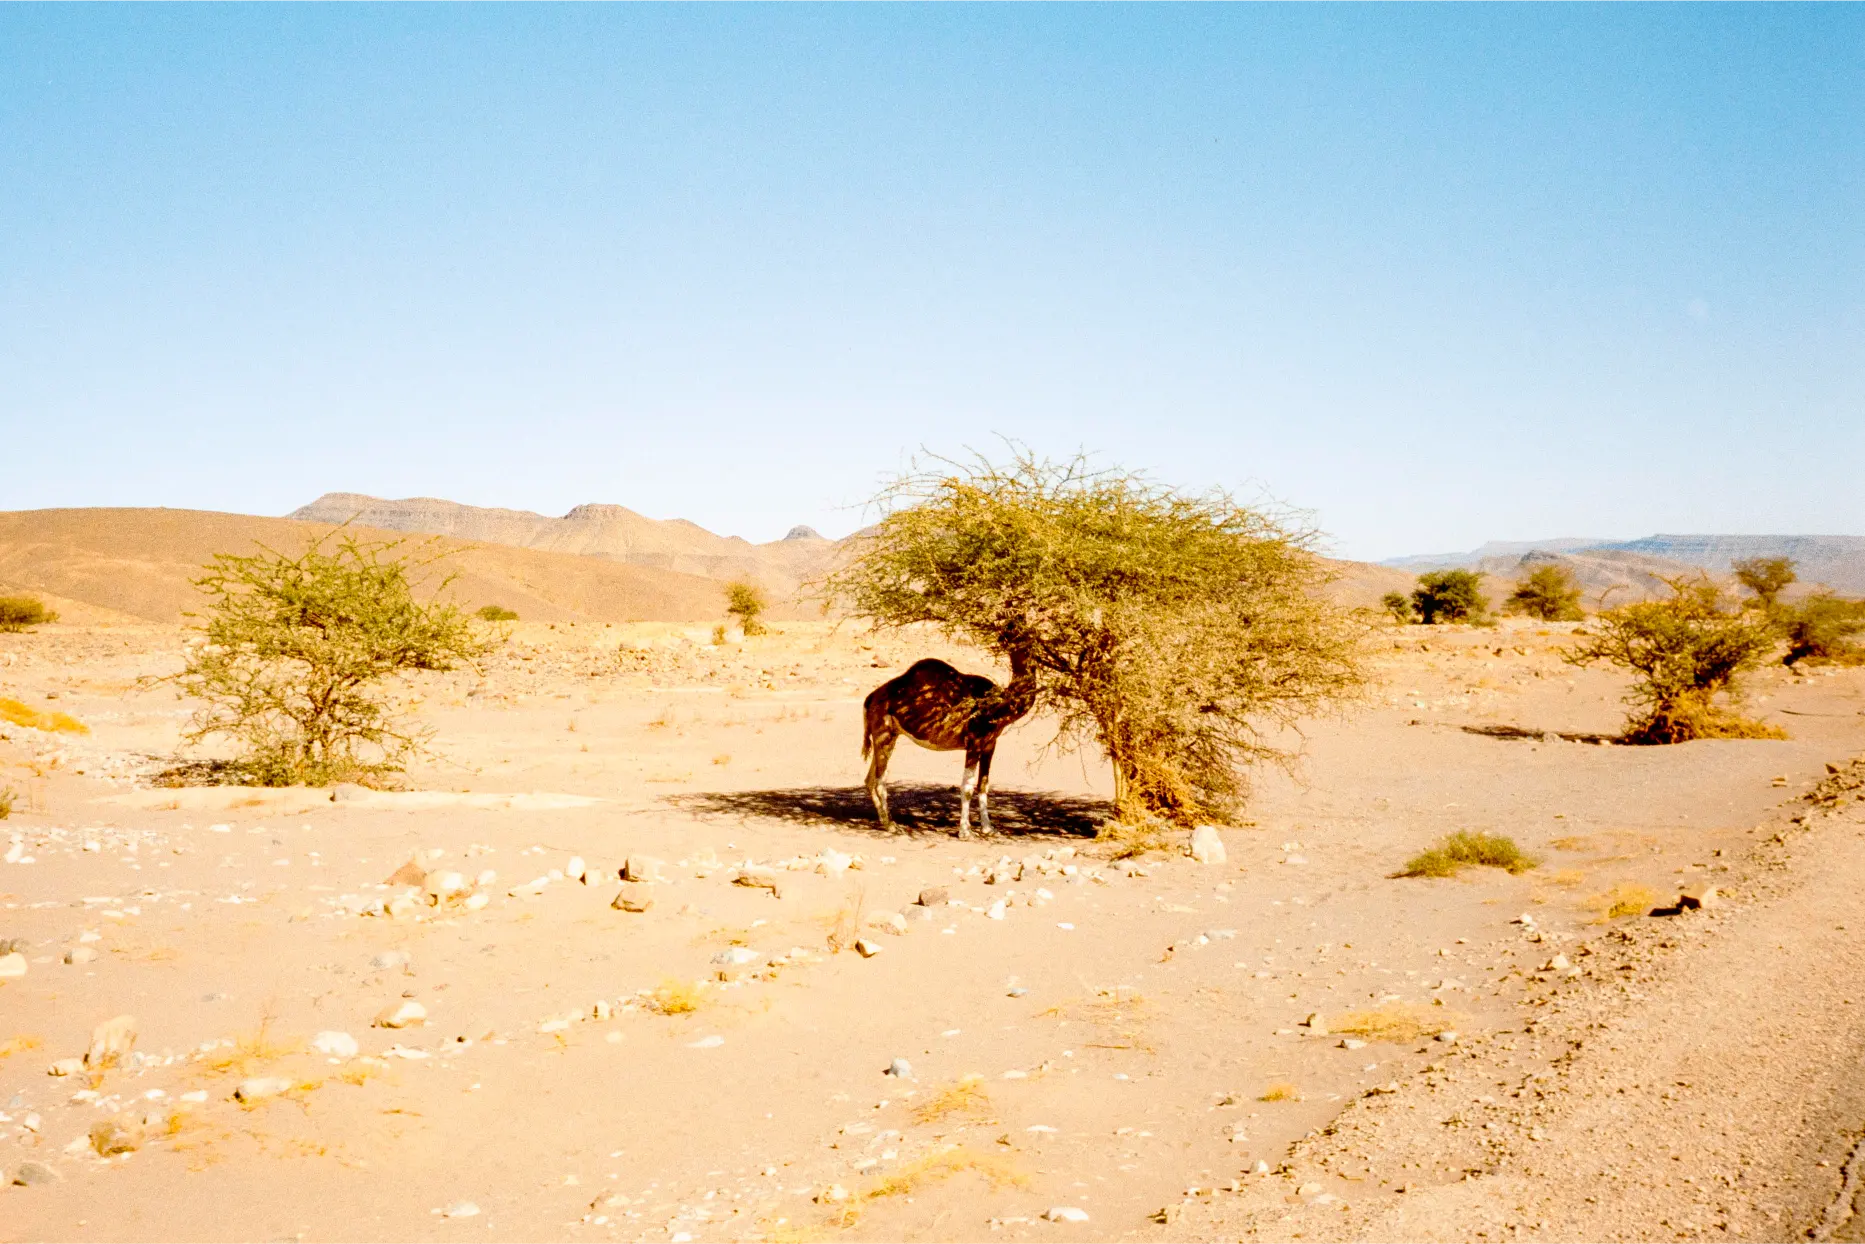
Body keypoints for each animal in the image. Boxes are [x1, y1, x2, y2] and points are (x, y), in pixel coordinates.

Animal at [861, 654, 1038, 838]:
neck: (998, 706)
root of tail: (871, 697)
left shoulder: (990, 744)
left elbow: (983, 785)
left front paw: (988, 829)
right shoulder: (974, 742)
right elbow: (967, 787)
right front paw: (965, 832)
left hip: (889, 736)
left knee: (870, 779)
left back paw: (886, 822)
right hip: (884, 734)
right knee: (880, 781)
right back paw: (891, 826)